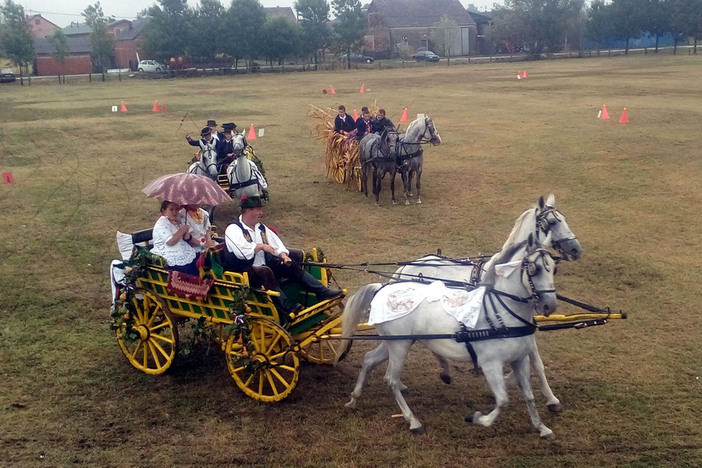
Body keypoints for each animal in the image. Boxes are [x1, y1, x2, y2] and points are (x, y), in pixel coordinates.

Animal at [342, 238, 560, 438]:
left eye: (554, 268)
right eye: (534, 269)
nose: (549, 305)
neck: (502, 313)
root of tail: (382, 288)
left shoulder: (520, 359)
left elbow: (529, 396)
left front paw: (542, 428)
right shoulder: (490, 363)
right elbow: (503, 402)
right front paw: (476, 417)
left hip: (398, 342)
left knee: (369, 360)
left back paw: (354, 399)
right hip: (399, 346)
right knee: (391, 380)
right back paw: (413, 421)